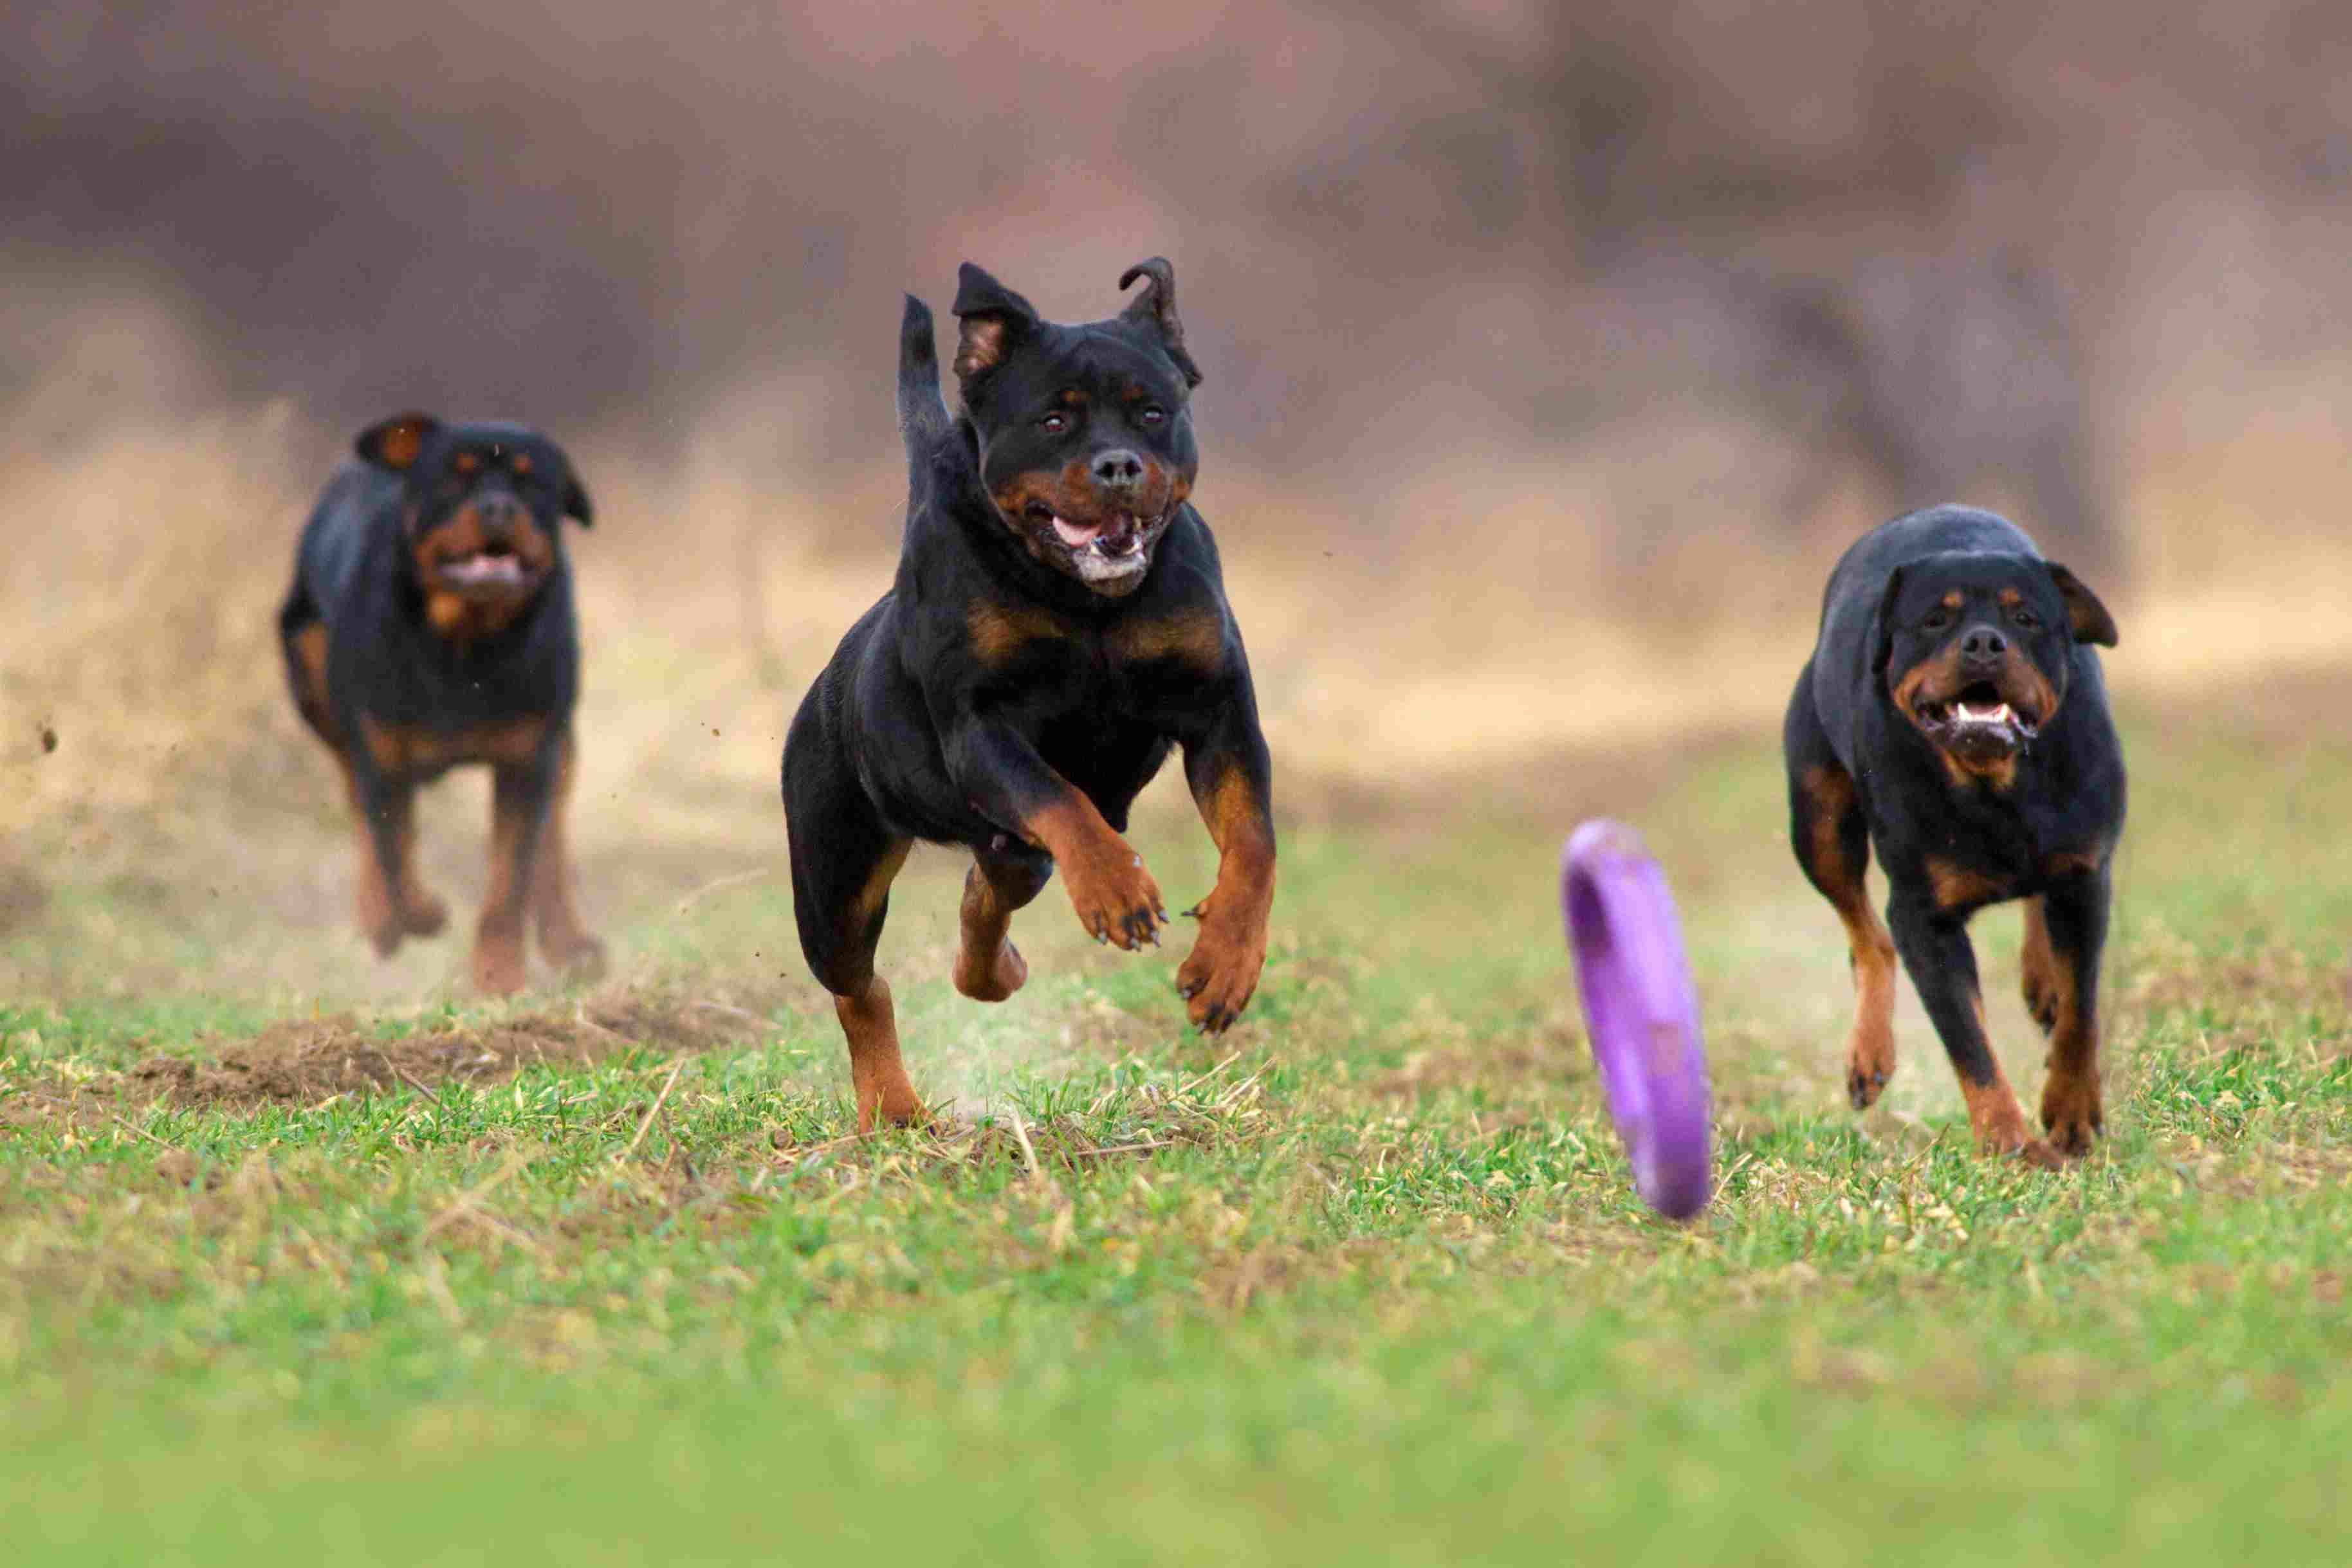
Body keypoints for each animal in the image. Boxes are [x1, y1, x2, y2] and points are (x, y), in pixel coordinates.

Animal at [280, 414, 602, 992]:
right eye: (455, 477)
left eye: (532, 483)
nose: (498, 508)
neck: (463, 644)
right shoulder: (381, 756)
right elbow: (393, 850)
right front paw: (419, 914)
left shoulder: (528, 760)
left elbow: (509, 883)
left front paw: (500, 979)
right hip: (314, 679)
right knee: (360, 810)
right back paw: (380, 920)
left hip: (560, 744)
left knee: (551, 842)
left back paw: (570, 943)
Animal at [786, 260, 1270, 1128]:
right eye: (1052, 420)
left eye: (1152, 412)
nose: (1118, 465)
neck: (1085, 601)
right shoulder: (980, 725)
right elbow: (1060, 797)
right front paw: (1118, 888)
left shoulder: (1220, 711)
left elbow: (1252, 839)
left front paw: (1225, 965)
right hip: (832, 879)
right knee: (859, 986)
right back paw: (893, 1107)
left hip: (1005, 850)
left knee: (986, 895)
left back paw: (995, 971)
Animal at [1778, 503, 2135, 1165]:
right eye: (1934, 619)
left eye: (2026, 617)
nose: (1984, 641)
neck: (1996, 787)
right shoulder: (1924, 916)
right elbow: (1969, 1043)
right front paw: (2009, 1145)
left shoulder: (2084, 875)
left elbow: (2081, 1009)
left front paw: (2072, 1114)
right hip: (1817, 823)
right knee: (1867, 934)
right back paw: (1869, 1055)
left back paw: (2041, 982)